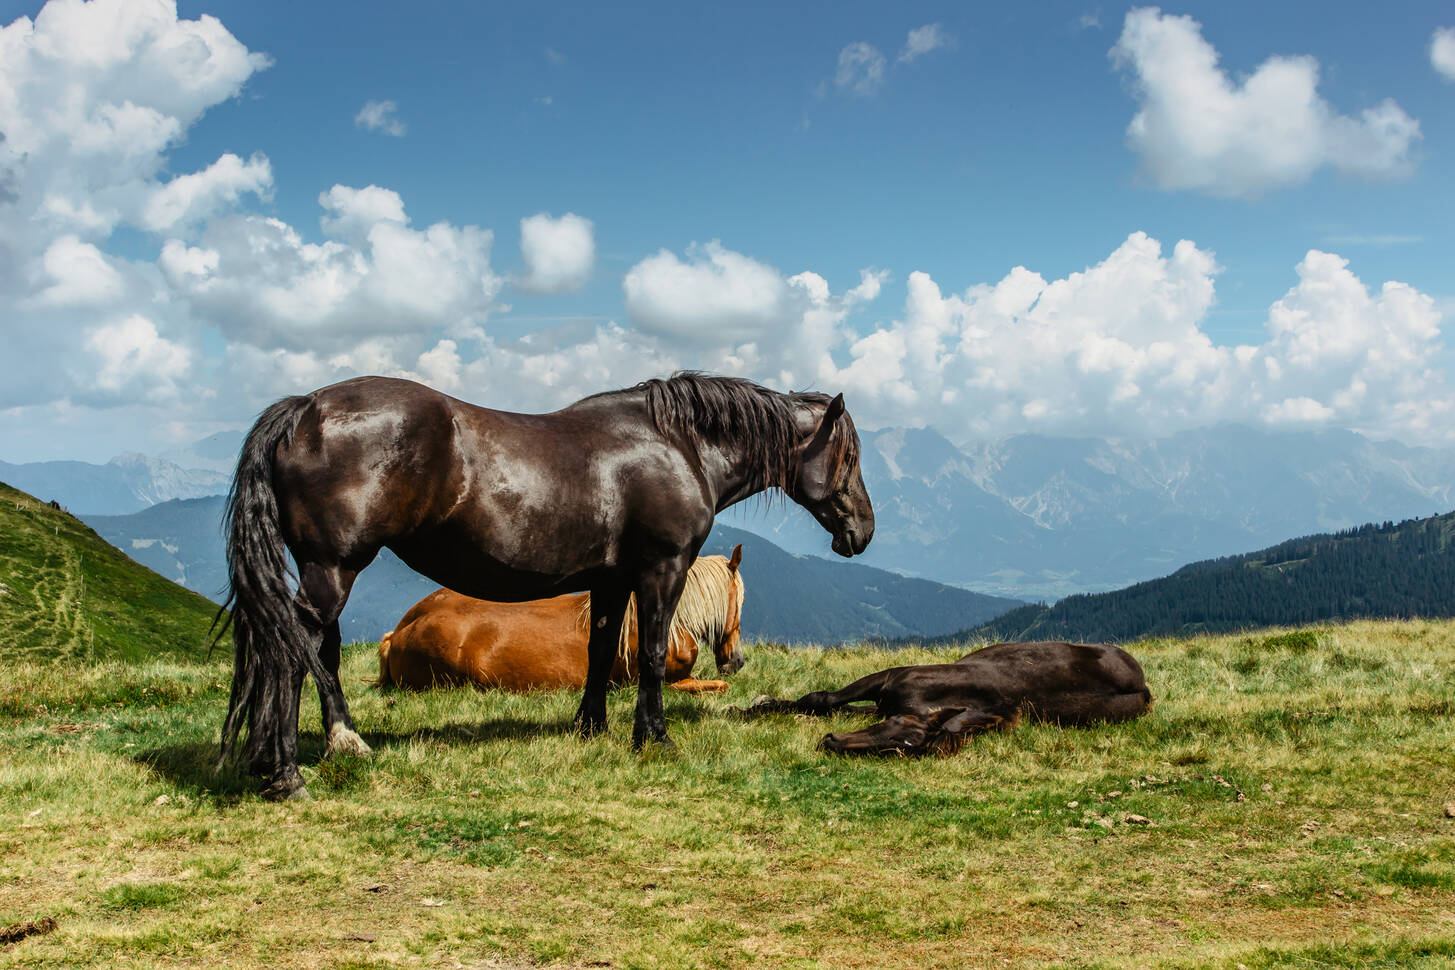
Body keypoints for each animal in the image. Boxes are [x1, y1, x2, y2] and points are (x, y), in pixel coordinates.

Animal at [744, 645, 1152, 756]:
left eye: (897, 750)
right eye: (892, 729)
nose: (830, 743)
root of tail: (1143, 685)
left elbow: (827, 703)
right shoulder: (889, 678)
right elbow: (823, 699)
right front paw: (750, 708)